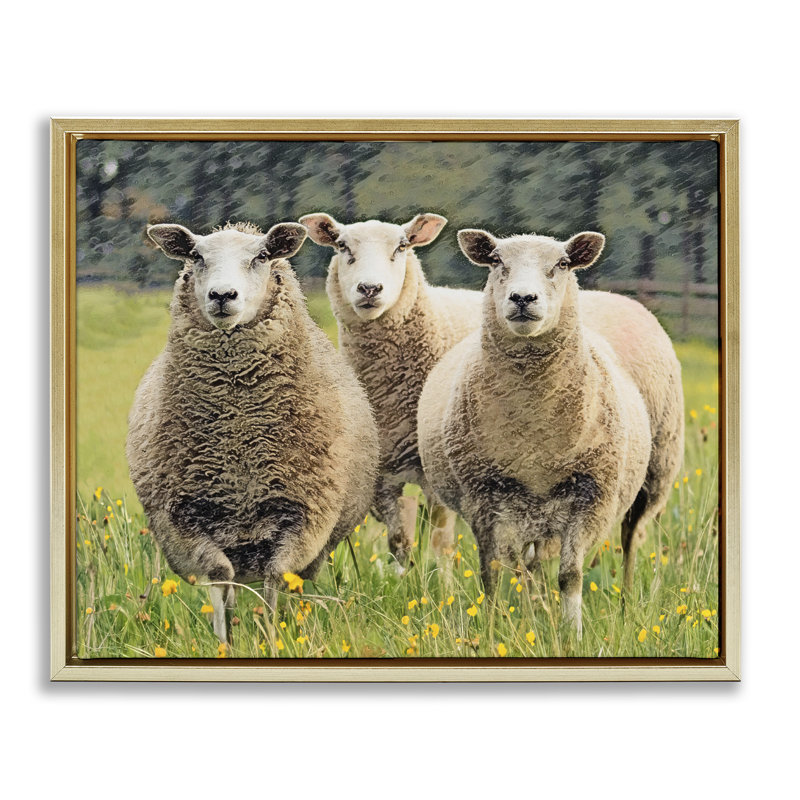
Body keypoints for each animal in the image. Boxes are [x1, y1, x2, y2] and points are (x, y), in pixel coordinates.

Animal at [127, 221, 379, 642]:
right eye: (195, 256)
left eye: (261, 256)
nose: (222, 295)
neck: (239, 433)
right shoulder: (183, 519)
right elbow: (220, 577)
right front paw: (225, 642)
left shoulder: (304, 515)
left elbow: (276, 578)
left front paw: (273, 639)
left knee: (290, 583)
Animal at [299, 212, 483, 562]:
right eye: (342, 246)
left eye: (401, 247)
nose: (370, 288)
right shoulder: (381, 477)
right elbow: (399, 543)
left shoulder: (437, 471)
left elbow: (439, 542)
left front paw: (438, 576)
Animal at [417, 228, 684, 635]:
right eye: (496, 260)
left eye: (562, 264)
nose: (523, 298)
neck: (535, 432)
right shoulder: (483, 496)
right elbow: (492, 572)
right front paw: (493, 628)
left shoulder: (592, 495)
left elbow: (571, 575)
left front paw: (572, 633)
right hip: (532, 510)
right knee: (531, 564)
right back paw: (536, 609)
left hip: (655, 475)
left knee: (631, 541)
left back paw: (626, 605)